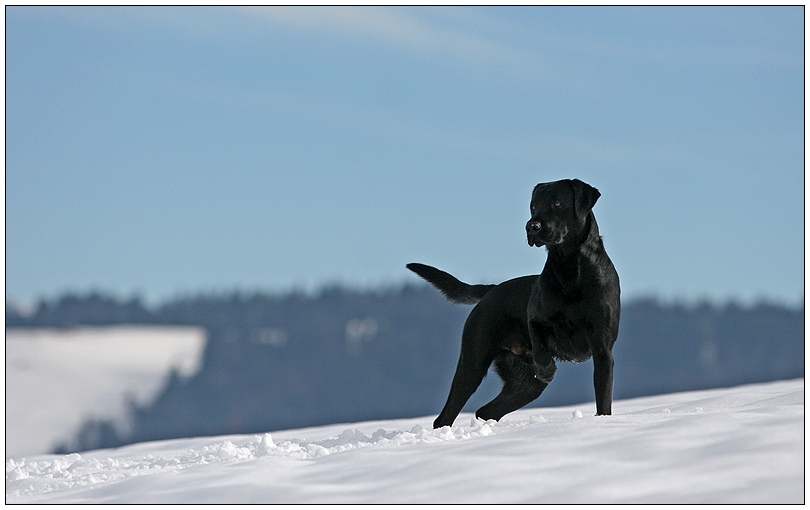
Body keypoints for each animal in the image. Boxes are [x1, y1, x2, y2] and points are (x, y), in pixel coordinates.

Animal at [408, 178, 620, 426]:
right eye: (533, 206)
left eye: (557, 203)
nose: (532, 226)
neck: (569, 269)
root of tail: (491, 289)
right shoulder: (535, 318)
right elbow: (540, 346)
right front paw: (548, 369)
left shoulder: (603, 350)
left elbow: (603, 399)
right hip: (473, 363)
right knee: (446, 415)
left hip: (524, 383)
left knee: (486, 410)